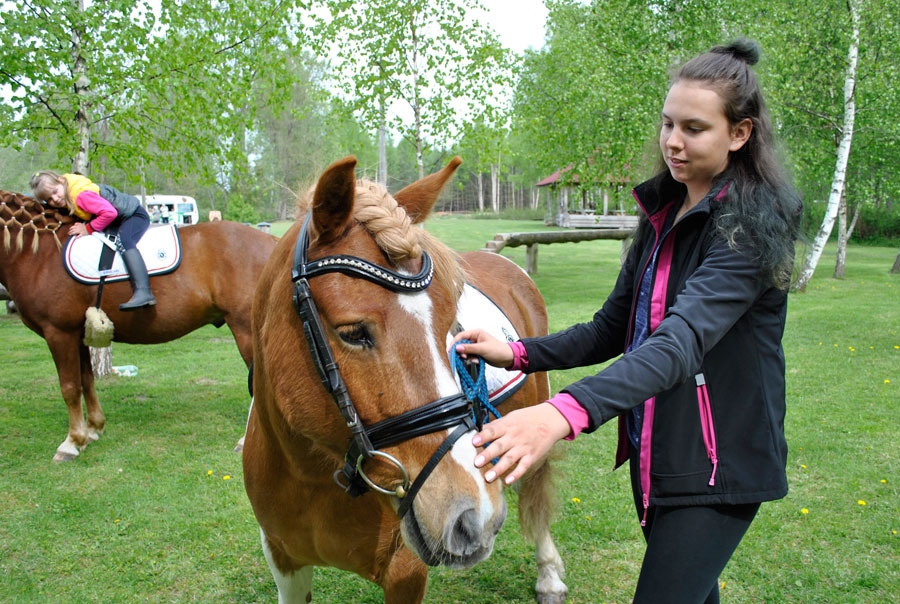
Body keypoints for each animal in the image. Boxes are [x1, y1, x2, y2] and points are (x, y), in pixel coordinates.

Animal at [0, 191, 278, 460]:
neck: (41, 253)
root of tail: (276, 245)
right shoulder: (78, 335)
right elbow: (87, 380)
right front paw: (93, 430)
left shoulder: (58, 332)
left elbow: (69, 387)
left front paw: (72, 442)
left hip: (245, 329)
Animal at [243, 157, 568, 604]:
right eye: (352, 332)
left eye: (450, 326)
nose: (475, 517)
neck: (310, 476)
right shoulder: (283, 558)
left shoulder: (406, 571)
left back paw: (548, 573)